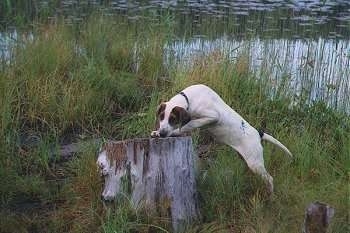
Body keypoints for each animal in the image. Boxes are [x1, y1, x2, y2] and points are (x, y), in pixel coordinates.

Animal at [152, 83, 292, 195]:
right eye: (161, 116)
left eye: (173, 119)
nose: (163, 133)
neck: (190, 99)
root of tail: (258, 134)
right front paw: (157, 133)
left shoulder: (212, 116)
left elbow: (189, 124)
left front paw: (174, 132)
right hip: (248, 161)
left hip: (255, 163)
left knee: (269, 179)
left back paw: (270, 195)